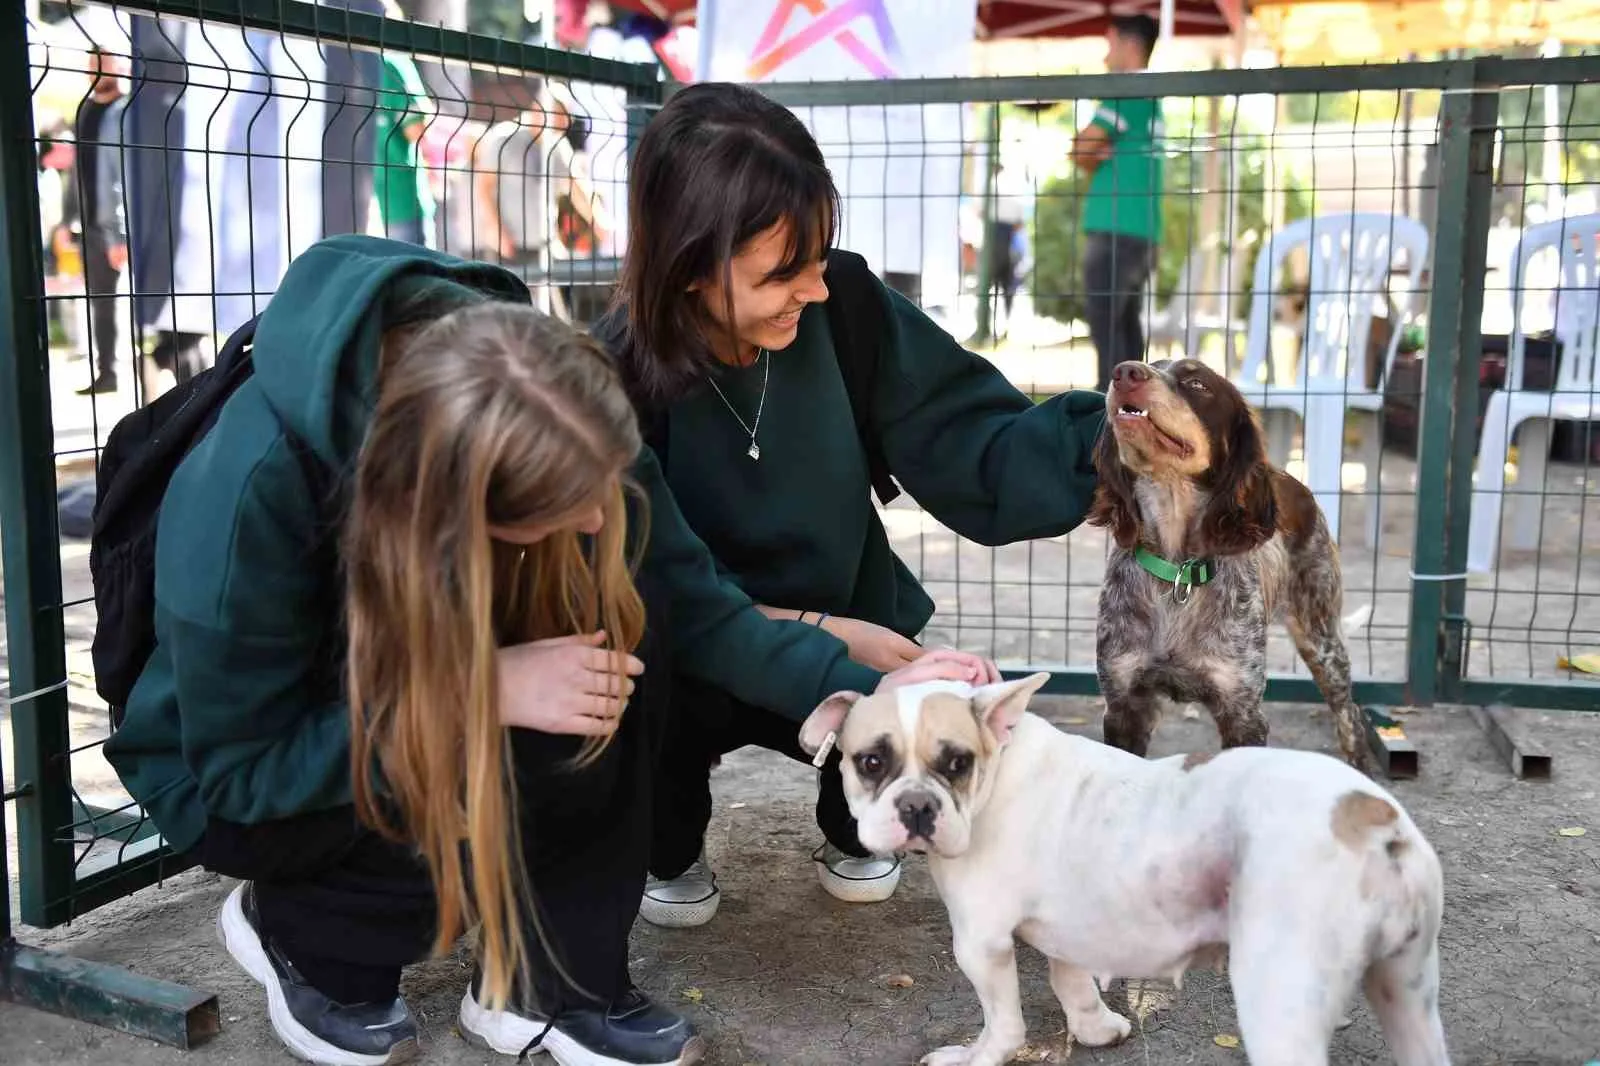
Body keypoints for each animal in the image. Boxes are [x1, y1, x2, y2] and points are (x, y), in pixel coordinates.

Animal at [1094, 361, 1369, 768]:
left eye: (1197, 383)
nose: (1125, 372)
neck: (1177, 572)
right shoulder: (1124, 704)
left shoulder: (1243, 711)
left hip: (1322, 641)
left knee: (1350, 716)